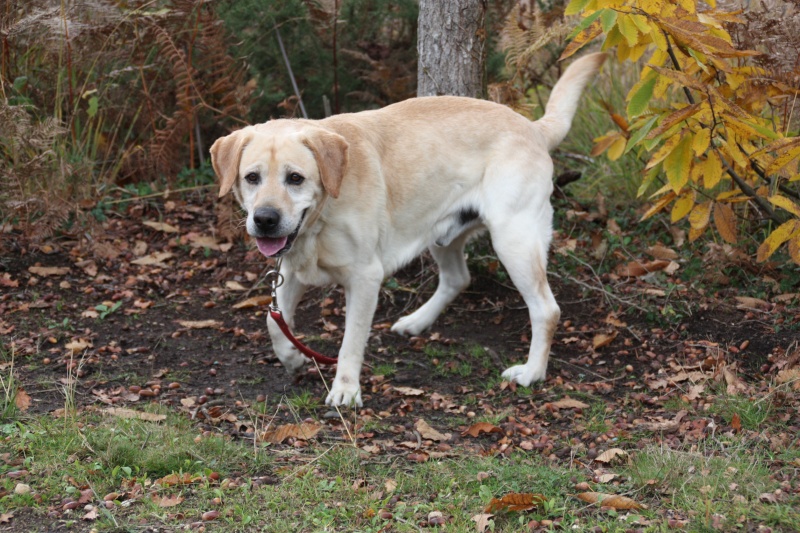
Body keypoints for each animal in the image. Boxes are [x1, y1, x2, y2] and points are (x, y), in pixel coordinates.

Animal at [212, 52, 608, 406]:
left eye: (295, 178)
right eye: (252, 177)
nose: (265, 219)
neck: (320, 219)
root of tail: (533, 127)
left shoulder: (365, 278)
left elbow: (350, 342)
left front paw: (346, 389)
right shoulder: (292, 272)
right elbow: (273, 322)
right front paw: (293, 358)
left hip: (514, 241)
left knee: (546, 309)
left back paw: (532, 373)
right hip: (442, 236)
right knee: (458, 278)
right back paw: (417, 321)